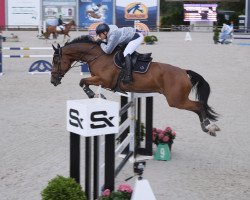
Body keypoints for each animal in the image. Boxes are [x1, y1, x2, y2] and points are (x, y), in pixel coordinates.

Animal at [50, 35, 221, 136]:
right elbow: (83, 82)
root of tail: (184, 72)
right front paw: (97, 95)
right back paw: (207, 127)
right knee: (199, 107)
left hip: (176, 100)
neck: (97, 56)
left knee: (199, 106)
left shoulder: (104, 80)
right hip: (178, 100)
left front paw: (96, 95)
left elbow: (83, 82)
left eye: (56, 60)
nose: (53, 81)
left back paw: (209, 127)